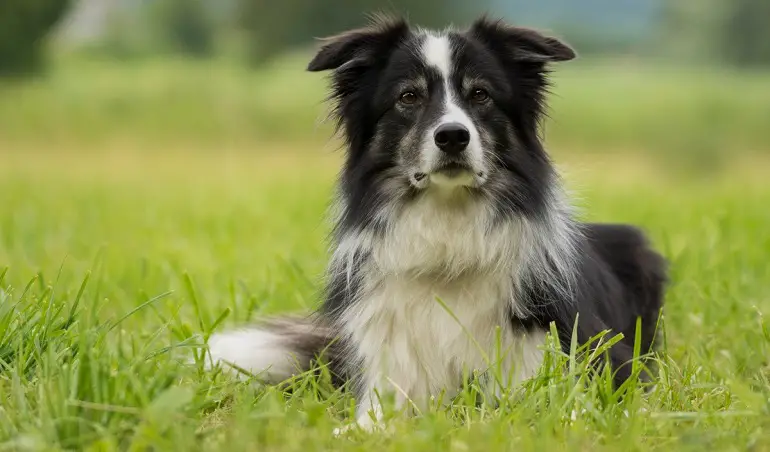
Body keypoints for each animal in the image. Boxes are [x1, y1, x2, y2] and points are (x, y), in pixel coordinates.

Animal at [206, 14, 664, 430]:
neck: (448, 239)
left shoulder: (574, 363)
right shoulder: (389, 377)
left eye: (480, 94)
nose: (453, 136)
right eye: (408, 97)